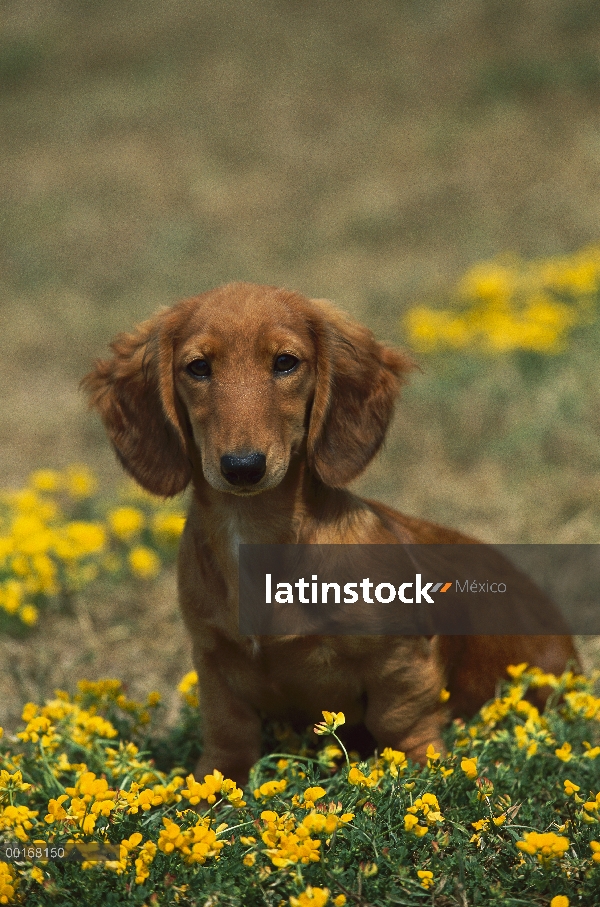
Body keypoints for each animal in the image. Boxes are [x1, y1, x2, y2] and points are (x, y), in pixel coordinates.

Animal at [82, 280, 580, 784]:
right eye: (198, 367)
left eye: (285, 362)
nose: (243, 468)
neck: (258, 531)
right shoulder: (213, 660)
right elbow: (228, 732)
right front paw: (207, 786)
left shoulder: (402, 658)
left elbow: (402, 722)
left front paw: (427, 773)